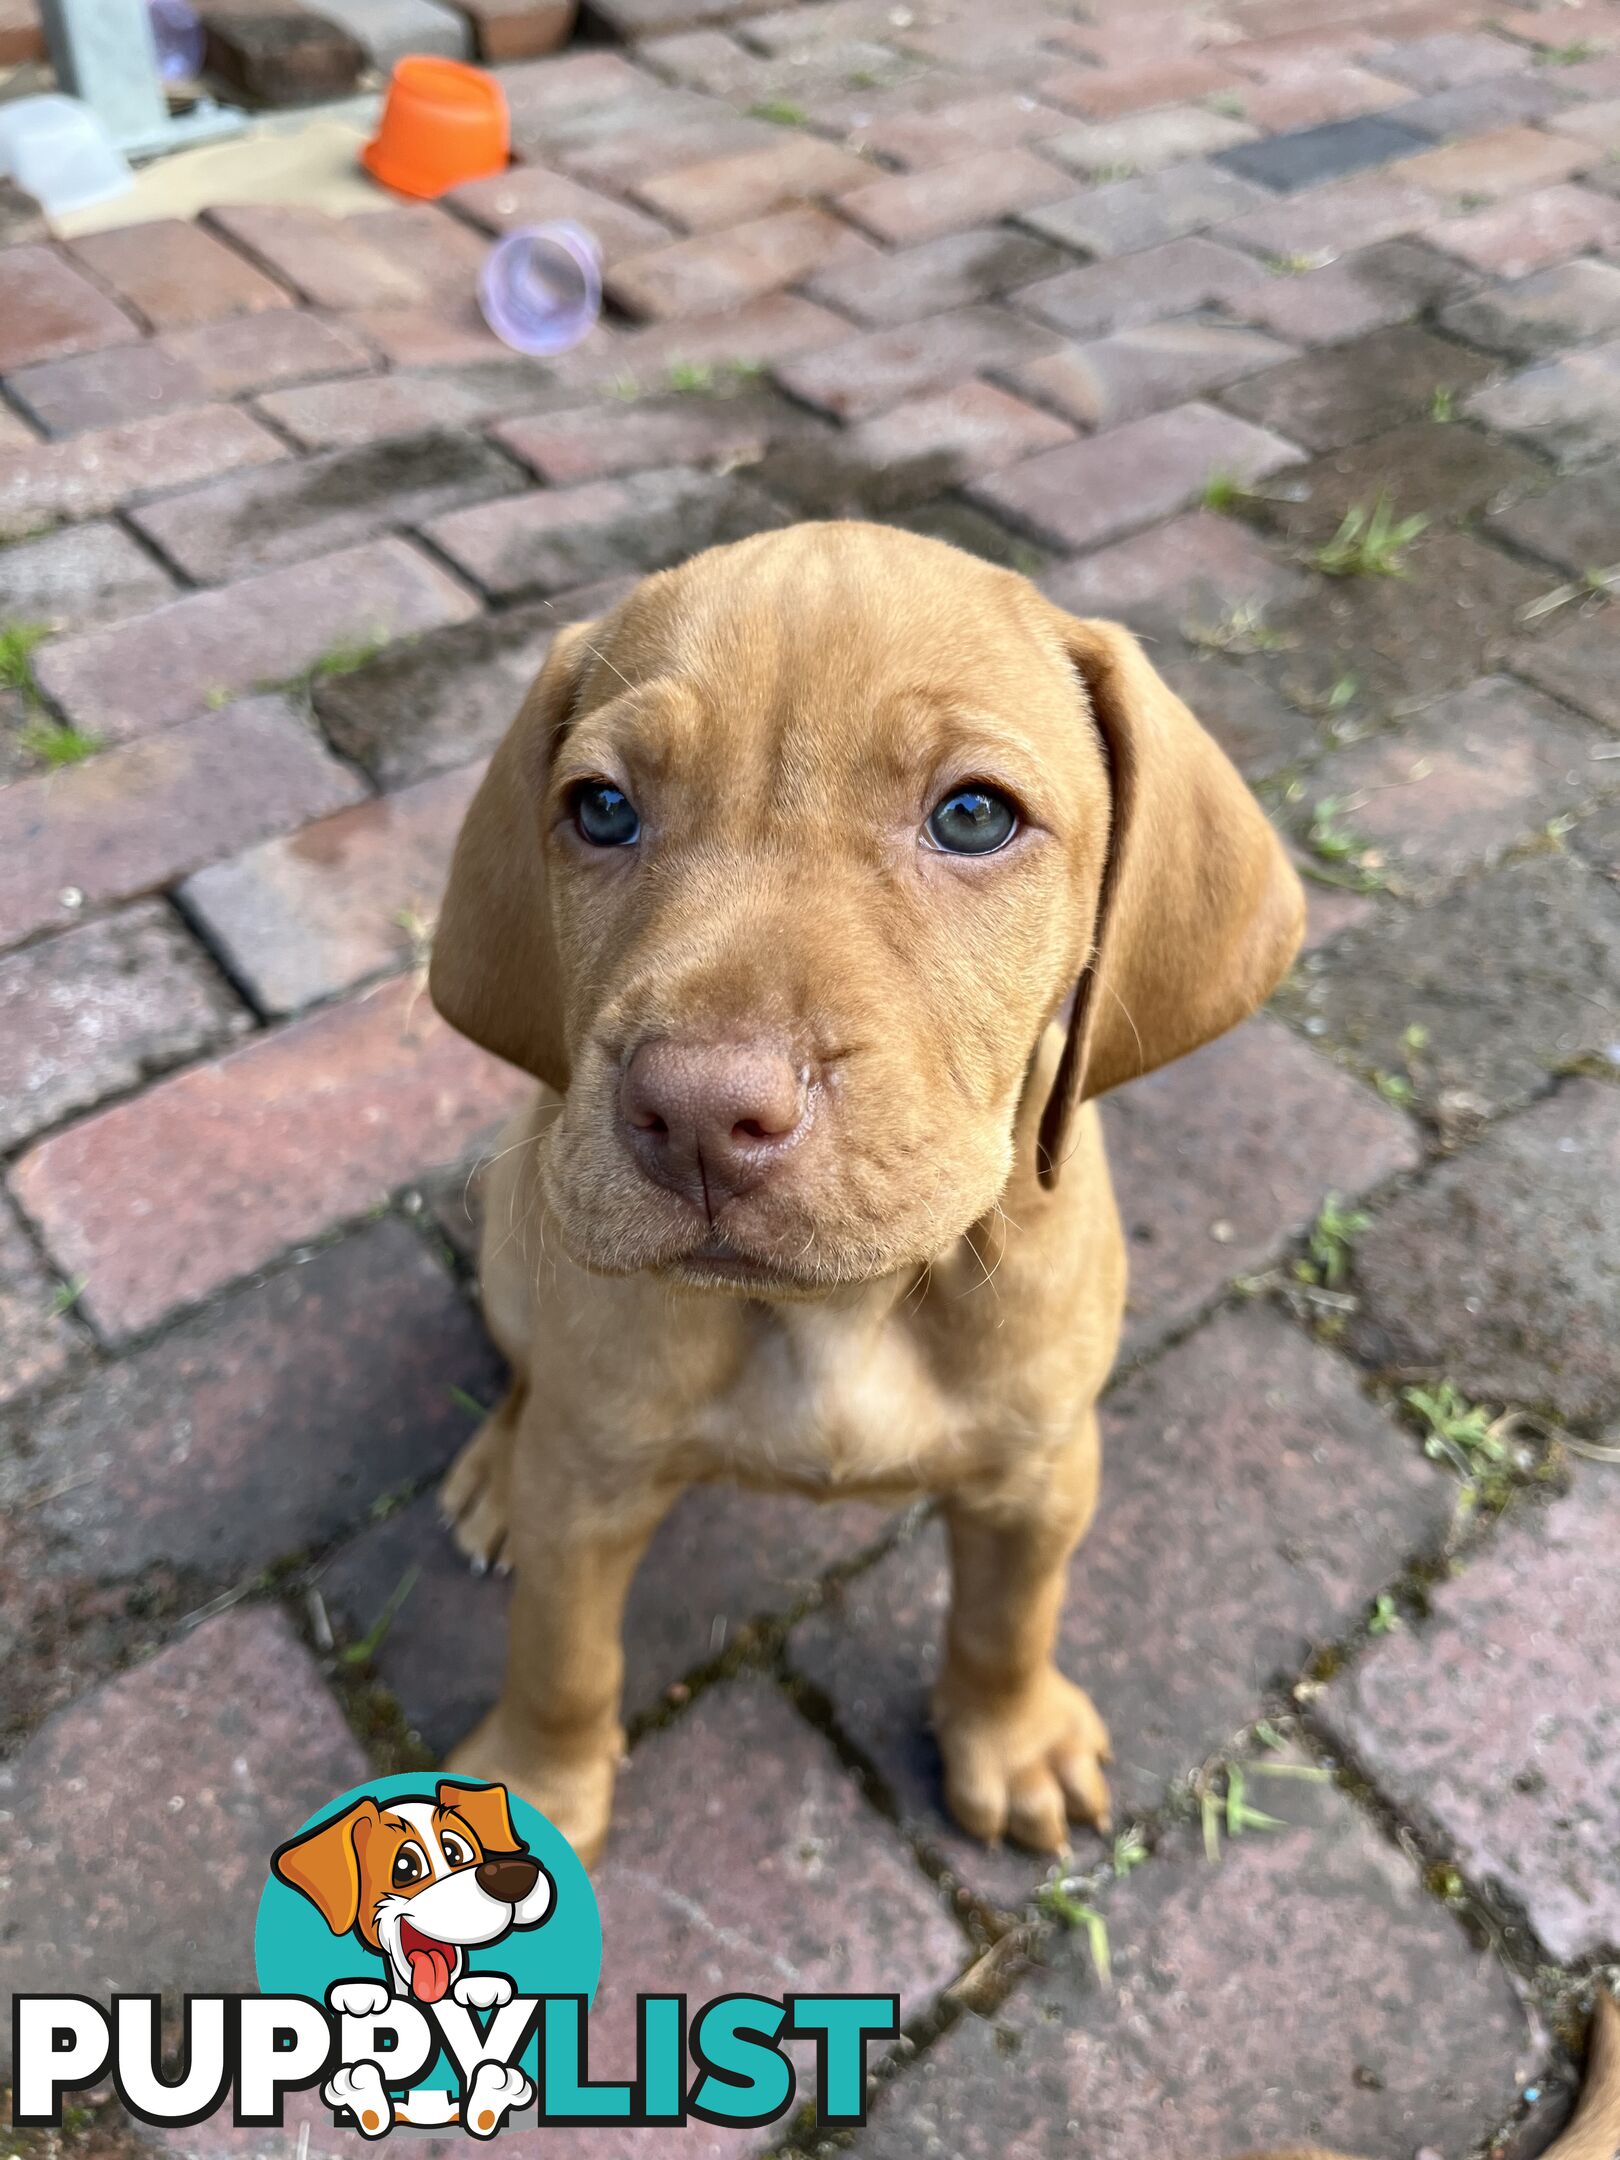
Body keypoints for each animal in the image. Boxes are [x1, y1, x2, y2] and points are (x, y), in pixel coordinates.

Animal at [427, 522, 1304, 1874]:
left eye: (974, 816)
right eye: (604, 810)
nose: (699, 1112)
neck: (854, 1306)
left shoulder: (1044, 1467)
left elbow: (1008, 1622)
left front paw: (1011, 1743)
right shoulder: (591, 1490)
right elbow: (561, 1656)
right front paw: (528, 1784)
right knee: (530, 1374)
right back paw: (496, 1471)